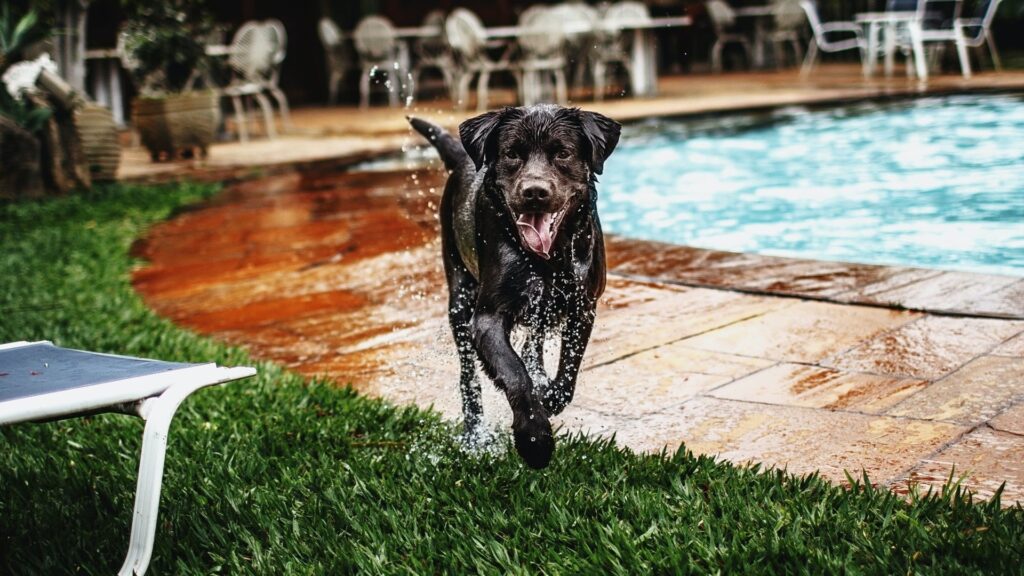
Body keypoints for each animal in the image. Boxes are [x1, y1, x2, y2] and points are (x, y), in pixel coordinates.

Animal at [409, 106, 618, 467]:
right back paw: (475, 435)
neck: (548, 259)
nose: (535, 192)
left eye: (562, 153)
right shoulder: (487, 318)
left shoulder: (583, 306)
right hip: (459, 297)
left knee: (534, 344)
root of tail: (463, 157)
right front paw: (534, 439)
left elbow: (568, 372)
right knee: (468, 376)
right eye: (512, 154)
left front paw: (548, 397)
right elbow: (514, 373)